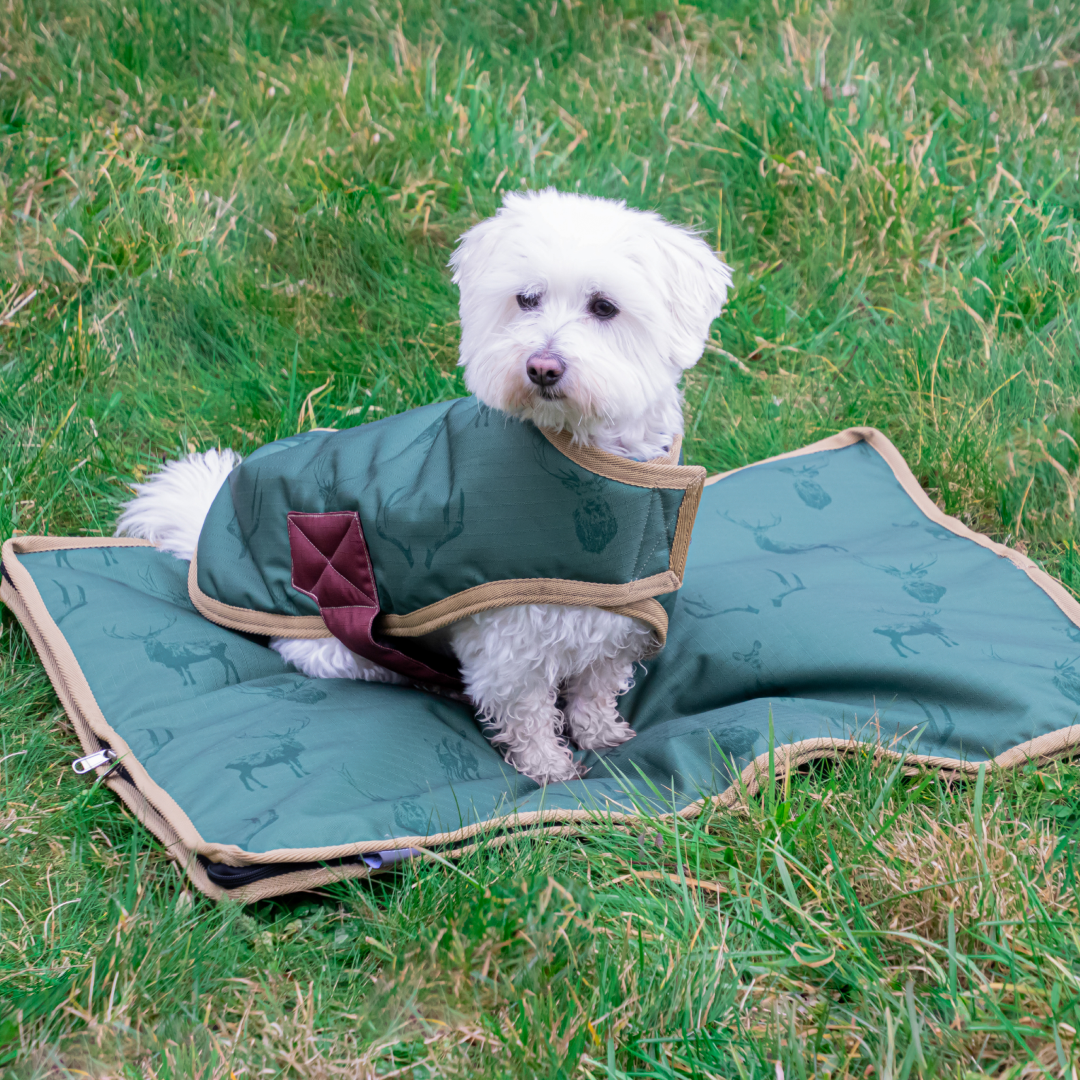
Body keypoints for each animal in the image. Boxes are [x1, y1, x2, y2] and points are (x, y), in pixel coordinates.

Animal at [105, 616, 240, 686]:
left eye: (155, 639)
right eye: (146, 642)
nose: (156, 645)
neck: (166, 656)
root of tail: (224, 643)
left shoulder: (183, 661)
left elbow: (187, 672)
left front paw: (193, 682)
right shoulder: (177, 665)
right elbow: (181, 674)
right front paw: (186, 683)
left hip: (219, 654)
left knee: (229, 662)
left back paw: (234, 679)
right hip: (217, 655)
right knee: (227, 663)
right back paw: (229, 680)